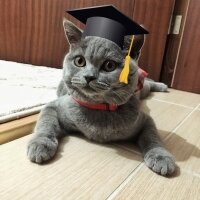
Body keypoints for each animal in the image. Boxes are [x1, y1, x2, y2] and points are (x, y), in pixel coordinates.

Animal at [27, 18, 176, 175]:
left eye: (109, 65)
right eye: (79, 61)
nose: (89, 76)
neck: (98, 108)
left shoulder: (144, 120)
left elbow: (152, 136)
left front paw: (161, 157)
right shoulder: (55, 106)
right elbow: (46, 123)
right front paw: (40, 144)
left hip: (143, 89)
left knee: (148, 83)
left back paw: (162, 86)